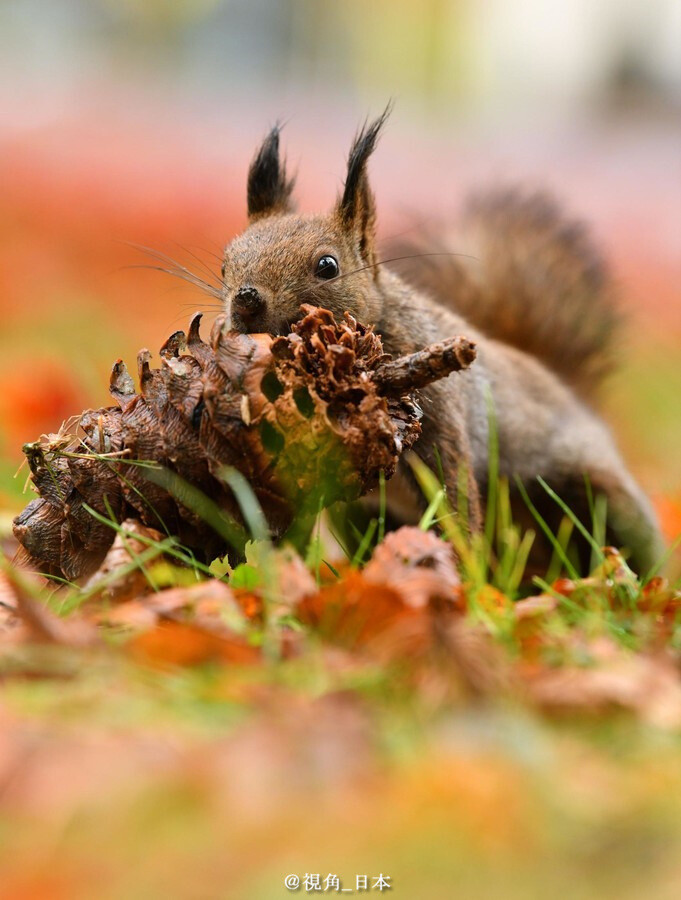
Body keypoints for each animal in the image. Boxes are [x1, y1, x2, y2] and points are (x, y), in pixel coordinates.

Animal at [220, 109, 660, 572]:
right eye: (225, 263)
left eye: (327, 266)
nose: (245, 299)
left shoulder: (440, 415)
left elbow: (453, 493)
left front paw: (463, 568)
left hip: (602, 496)